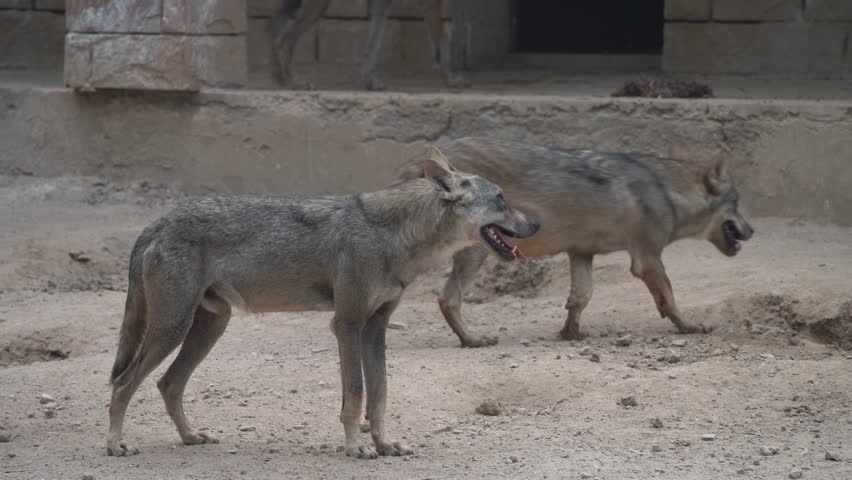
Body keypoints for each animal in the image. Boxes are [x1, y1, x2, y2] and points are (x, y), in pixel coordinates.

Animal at [105, 146, 538, 459]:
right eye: (501, 199)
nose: (537, 224)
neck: (394, 236)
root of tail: (158, 222)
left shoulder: (374, 329)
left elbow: (379, 396)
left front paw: (384, 444)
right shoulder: (346, 324)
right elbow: (357, 395)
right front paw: (355, 448)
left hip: (209, 327)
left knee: (167, 384)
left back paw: (190, 436)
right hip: (172, 329)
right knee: (124, 383)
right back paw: (114, 444)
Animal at [270, 0, 467, 90]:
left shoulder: (383, 2)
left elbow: (374, 45)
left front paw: (370, 81)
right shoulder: (429, 2)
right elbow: (443, 41)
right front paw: (451, 80)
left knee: (275, 34)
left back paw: (281, 79)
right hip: (317, 5)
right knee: (283, 41)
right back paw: (294, 82)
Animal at [396, 137, 754, 347]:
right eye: (737, 205)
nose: (752, 231)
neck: (666, 192)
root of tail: (416, 160)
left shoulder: (582, 253)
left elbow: (580, 297)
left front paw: (571, 334)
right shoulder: (647, 259)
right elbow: (668, 298)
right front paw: (689, 326)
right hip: (475, 254)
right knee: (447, 298)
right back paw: (472, 340)